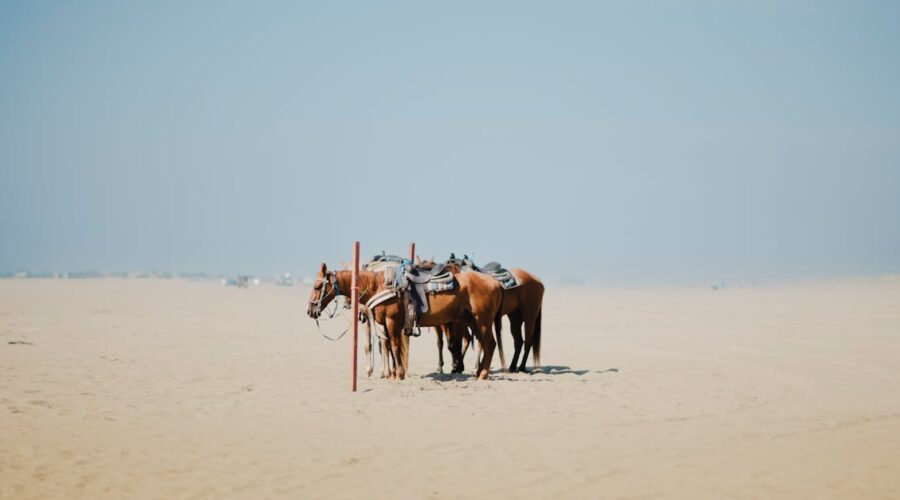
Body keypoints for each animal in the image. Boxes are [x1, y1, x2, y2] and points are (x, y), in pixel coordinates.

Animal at [306, 263, 503, 380]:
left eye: (318, 286)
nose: (309, 310)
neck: (379, 285)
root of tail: (496, 283)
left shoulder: (392, 322)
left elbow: (394, 346)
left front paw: (398, 374)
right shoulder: (384, 324)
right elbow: (389, 348)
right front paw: (393, 373)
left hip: (482, 321)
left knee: (490, 344)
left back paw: (482, 374)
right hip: (472, 321)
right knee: (485, 344)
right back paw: (479, 372)